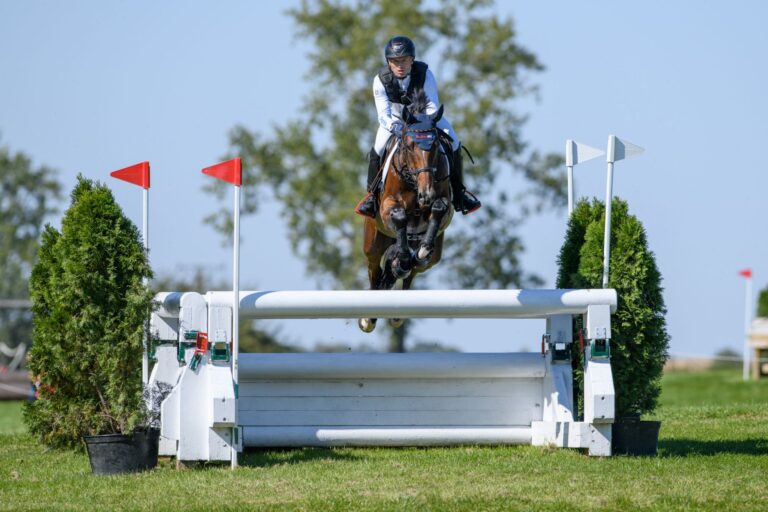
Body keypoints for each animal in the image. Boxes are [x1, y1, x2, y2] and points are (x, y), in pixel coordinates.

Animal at [360, 90, 456, 334]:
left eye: (435, 146)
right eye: (409, 146)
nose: (426, 194)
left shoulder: (444, 205)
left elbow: (439, 209)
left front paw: (419, 251)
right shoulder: (387, 208)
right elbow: (400, 216)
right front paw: (402, 256)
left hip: (435, 256)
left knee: (413, 271)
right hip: (373, 242)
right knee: (374, 271)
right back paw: (368, 317)